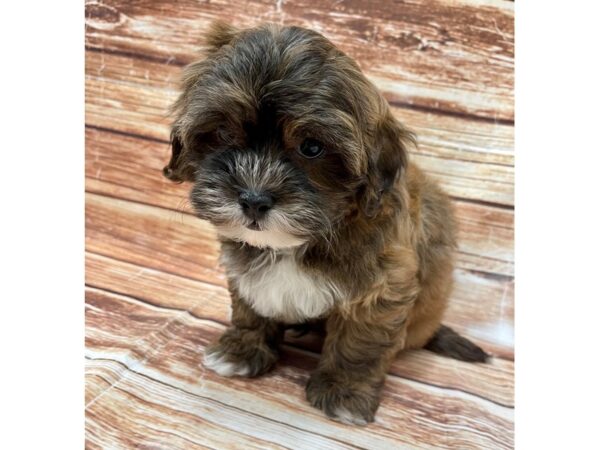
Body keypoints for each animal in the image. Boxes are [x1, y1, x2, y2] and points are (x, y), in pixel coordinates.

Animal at [164, 22, 488, 426]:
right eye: (223, 133)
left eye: (312, 147)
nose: (254, 200)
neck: (307, 238)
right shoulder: (247, 268)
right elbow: (252, 306)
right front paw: (242, 350)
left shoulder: (382, 287)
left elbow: (359, 343)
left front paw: (344, 392)